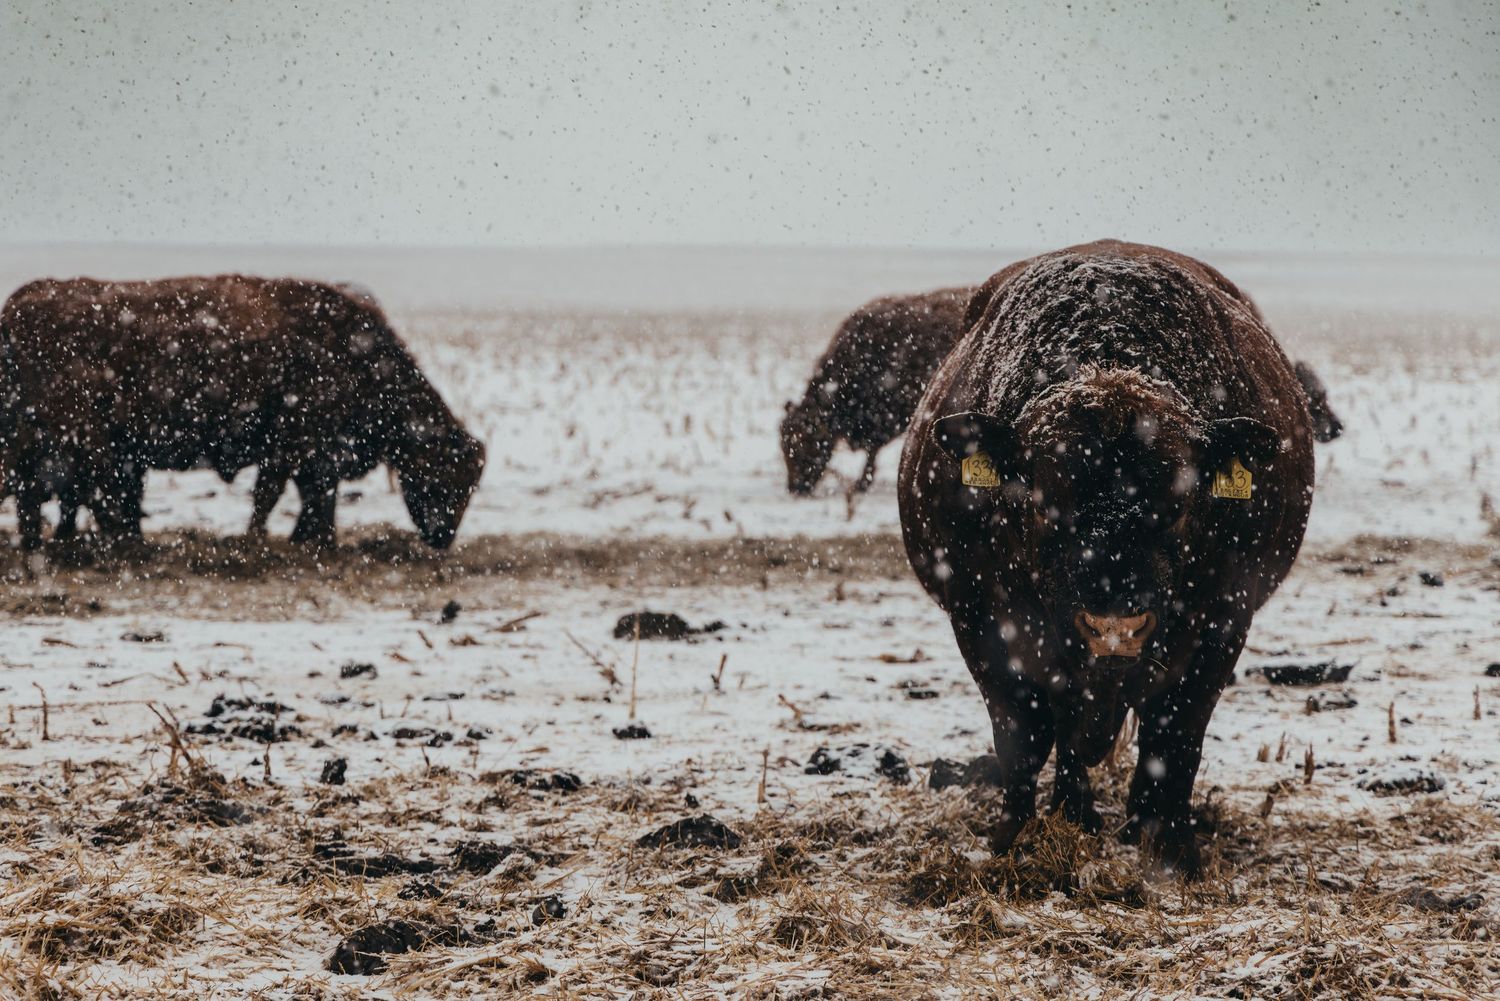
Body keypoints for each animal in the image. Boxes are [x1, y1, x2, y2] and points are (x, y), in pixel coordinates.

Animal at [0, 275, 485, 550]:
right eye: (448, 476)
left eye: (471, 483)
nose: (444, 538)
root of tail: (19, 307)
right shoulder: (296, 446)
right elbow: (277, 495)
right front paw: (261, 541)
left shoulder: (309, 454)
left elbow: (314, 498)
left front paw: (313, 541)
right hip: (75, 442)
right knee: (82, 495)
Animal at [898, 240, 1315, 877]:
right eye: (1043, 501)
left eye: (1179, 503)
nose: (1114, 625)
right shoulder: (980, 622)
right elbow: (1021, 735)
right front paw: (1014, 837)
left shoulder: (1223, 622)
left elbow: (1178, 735)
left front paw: (1172, 845)